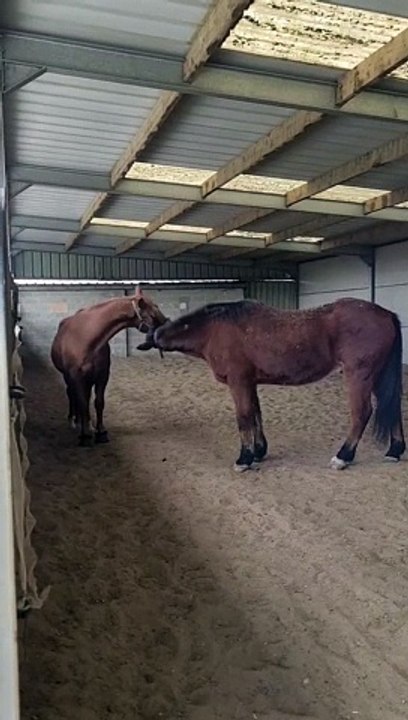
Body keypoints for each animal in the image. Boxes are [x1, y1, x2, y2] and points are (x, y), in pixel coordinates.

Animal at [51, 288, 167, 446]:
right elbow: (82, 402)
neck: (86, 339)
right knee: (72, 393)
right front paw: (85, 435)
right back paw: (74, 420)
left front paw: (100, 432)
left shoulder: (102, 376)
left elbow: (98, 402)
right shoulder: (77, 377)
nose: (167, 326)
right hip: (68, 377)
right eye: (153, 313)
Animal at [152, 297, 405, 472]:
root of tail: (386, 314)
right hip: (379, 376)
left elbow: (244, 417)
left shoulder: (238, 381)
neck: (215, 328)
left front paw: (244, 459)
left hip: (359, 375)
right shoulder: (250, 382)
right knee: (392, 409)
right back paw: (394, 451)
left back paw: (343, 457)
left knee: (362, 413)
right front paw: (258, 451)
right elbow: (256, 414)